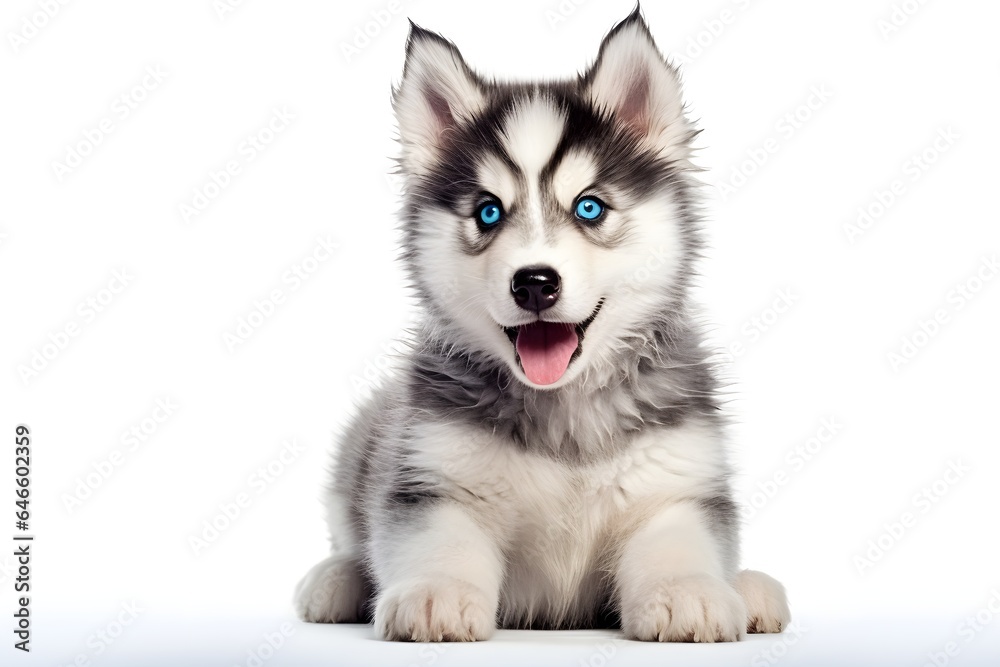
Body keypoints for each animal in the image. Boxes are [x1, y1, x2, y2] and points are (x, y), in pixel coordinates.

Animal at [292, 6, 792, 640]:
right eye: (487, 212)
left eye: (589, 207)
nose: (534, 282)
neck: (564, 407)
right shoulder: (433, 477)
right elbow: (439, 541)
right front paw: (435, 592)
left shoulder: (675, 482)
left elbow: (676, 540)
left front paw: (688, 591)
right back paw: (336, 581)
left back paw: (750, 590)